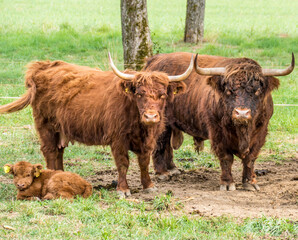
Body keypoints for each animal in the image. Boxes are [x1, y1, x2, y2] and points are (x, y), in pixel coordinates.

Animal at [0, 53, 193, 197]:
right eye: (139, 93)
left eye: (162, 95)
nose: (151, 116)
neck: (140, 124)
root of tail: (44, 66)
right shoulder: (118, 139)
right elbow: (123, 163)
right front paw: (123, 190)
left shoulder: (149, 140)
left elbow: (144, 162)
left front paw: (148, 186)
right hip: (46, 126)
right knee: (50, 152)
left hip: (60, 129)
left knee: (59, 151)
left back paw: (61, 174)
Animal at [144, 52, 294, 191]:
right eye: (229, 91)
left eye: (257, 91)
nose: (242, 113)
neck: (242, 131)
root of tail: (155, 59)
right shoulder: (217, 133)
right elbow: (226, 158)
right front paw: (227, 183)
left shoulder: (261, 132)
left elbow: (250, 158)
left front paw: (250, 182)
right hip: (160, 120)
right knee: (160, 143)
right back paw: (162, 173)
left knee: (167, 144)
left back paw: (173, 169)